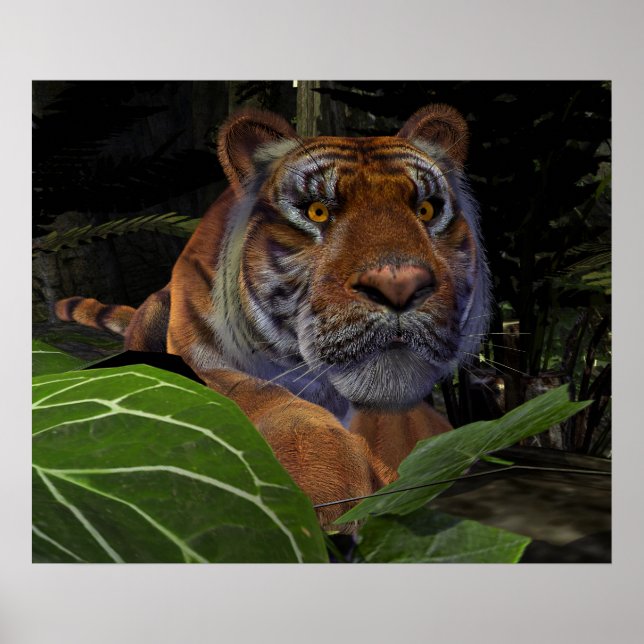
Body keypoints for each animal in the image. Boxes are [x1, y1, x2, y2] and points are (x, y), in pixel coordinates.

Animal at [55, 103, 491, 531]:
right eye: (317, 212)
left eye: (426, 209)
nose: (399, 285)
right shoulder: (202, 363)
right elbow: (261, 397)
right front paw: (324, 483)